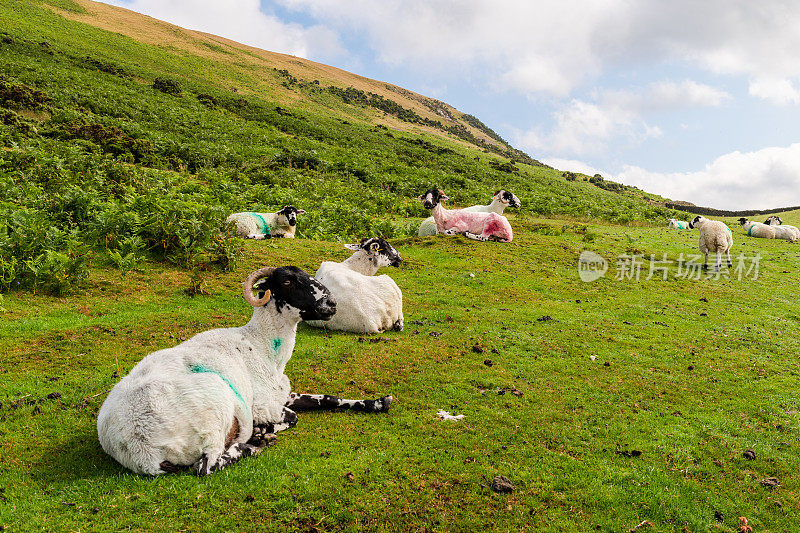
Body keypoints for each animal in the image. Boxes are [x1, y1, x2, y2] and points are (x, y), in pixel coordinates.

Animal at [97, 266, 394, 474]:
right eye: (287, 281)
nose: (331, 305)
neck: (261, 345)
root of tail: (139, 448)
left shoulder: (281, 394)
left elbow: (327, 398)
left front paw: (378, 402)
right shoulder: (264, 405)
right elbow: (293, 417)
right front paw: (265, 430)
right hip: (214, 411)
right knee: (206, 466)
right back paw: (256, 443)